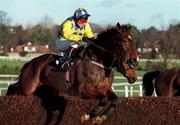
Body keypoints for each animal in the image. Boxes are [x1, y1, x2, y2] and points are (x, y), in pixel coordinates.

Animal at [5, 22, 138, 124]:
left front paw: (100, 117)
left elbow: (115, 100)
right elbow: (104, 99)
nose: (134, 61)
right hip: (27, 88)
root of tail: (30, 63)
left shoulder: (106, 89)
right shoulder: (83, 91)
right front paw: (88, 116)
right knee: (12, 89)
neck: (98, 63)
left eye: (133, 41)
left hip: (48, 91)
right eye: (124, 40)